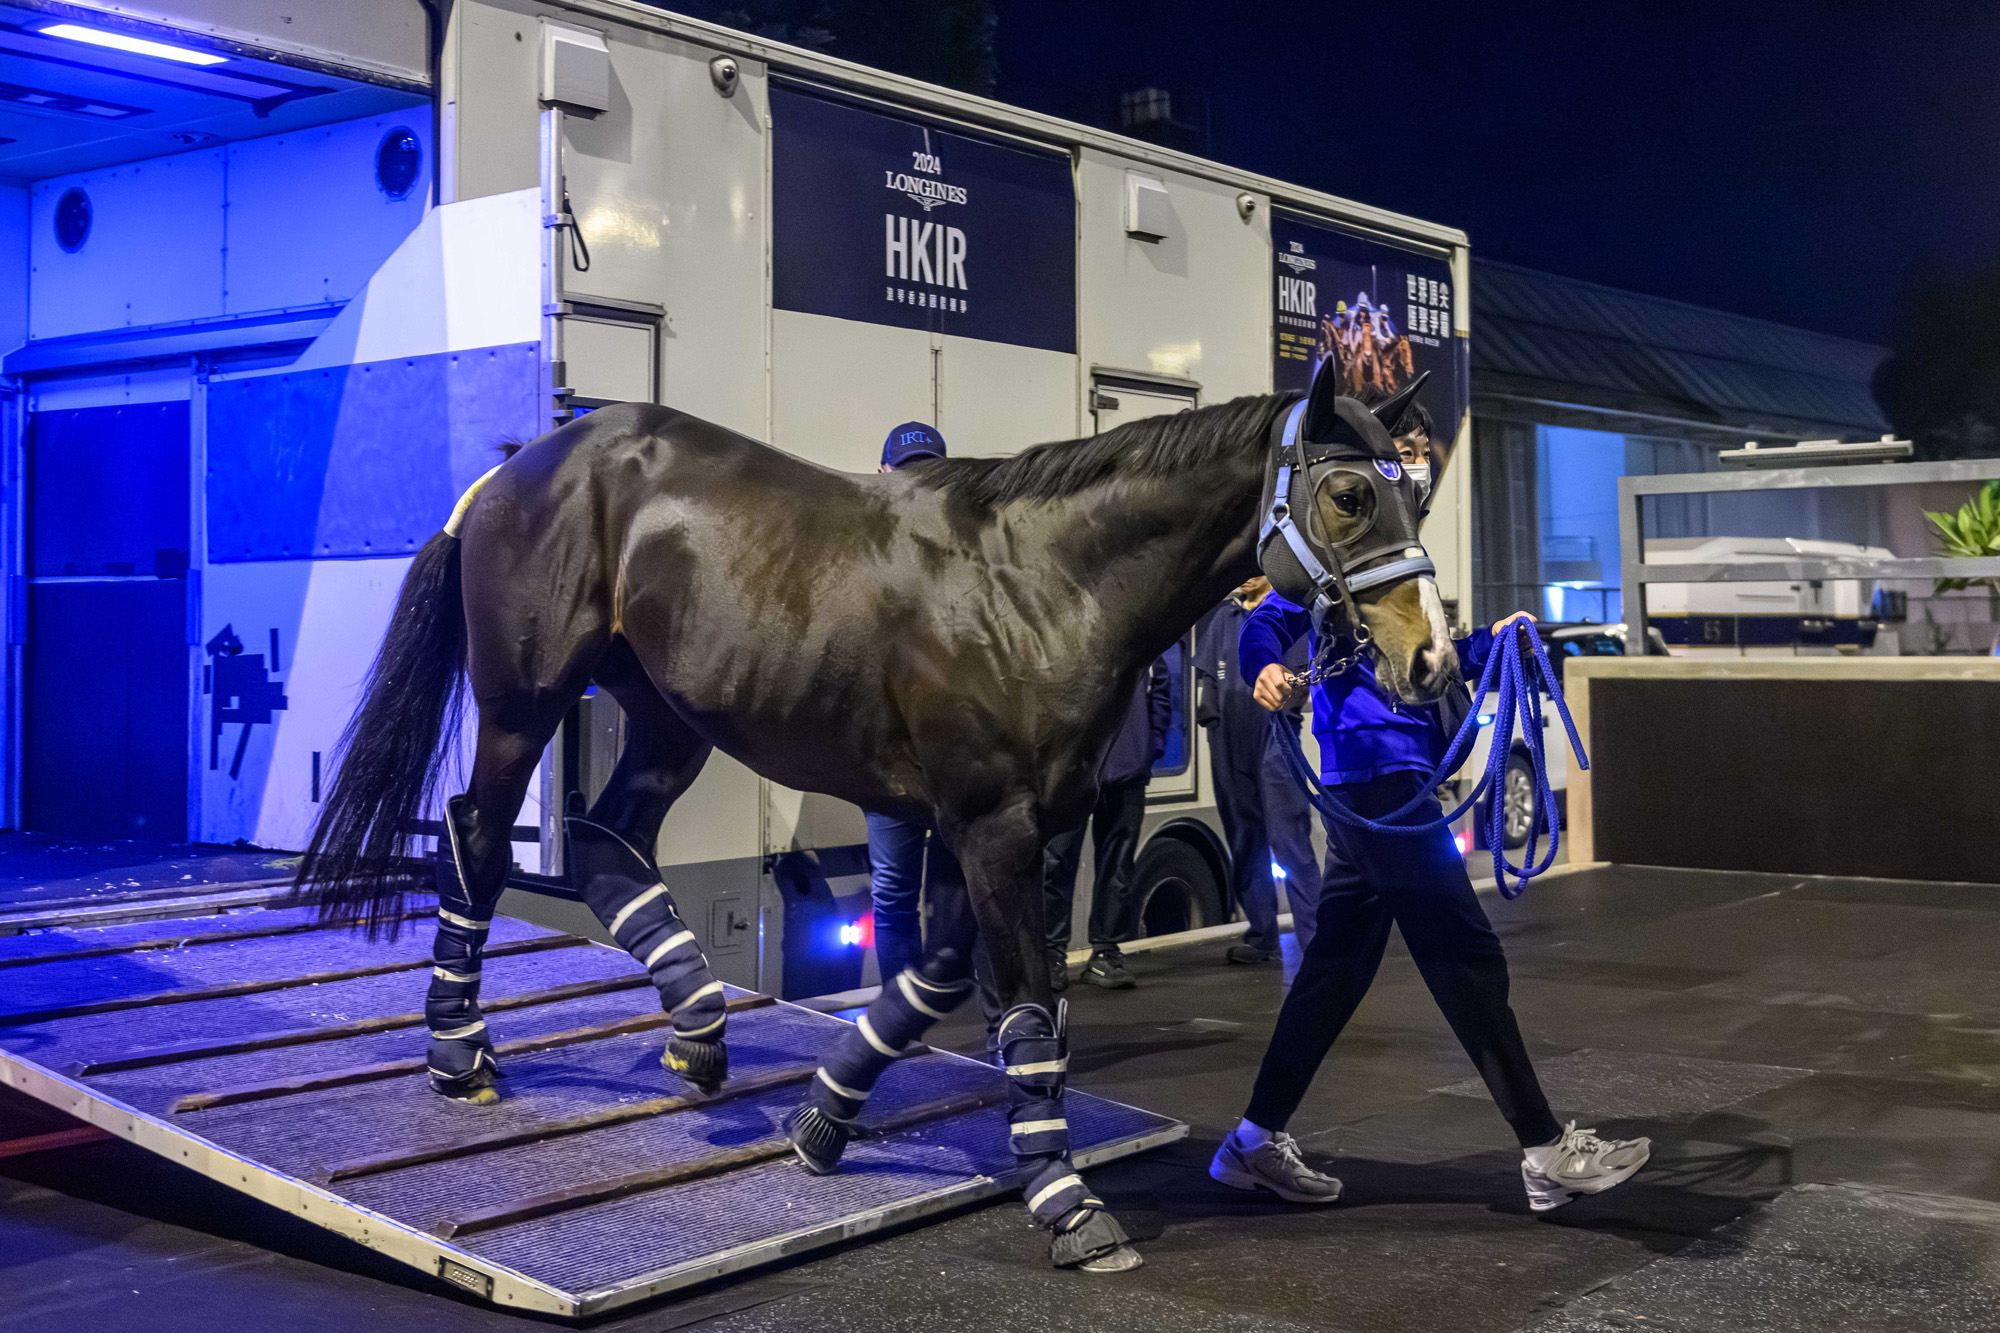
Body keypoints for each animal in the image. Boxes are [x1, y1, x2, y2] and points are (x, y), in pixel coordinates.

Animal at [296, 364, 1456, 1264]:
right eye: (1348, 494)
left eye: (1416, 490)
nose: (1431, 659)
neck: (1042, 586)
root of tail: (517, 466)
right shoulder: (993, 823)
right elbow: (1022, 1009)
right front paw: (1066, 1203)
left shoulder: (984, 825)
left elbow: (931, 976)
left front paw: (821, 1116)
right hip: (524, 704)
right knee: (480, 838)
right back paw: (457, 1053)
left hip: (668, 710)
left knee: (606, 840)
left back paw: (698, 1027)